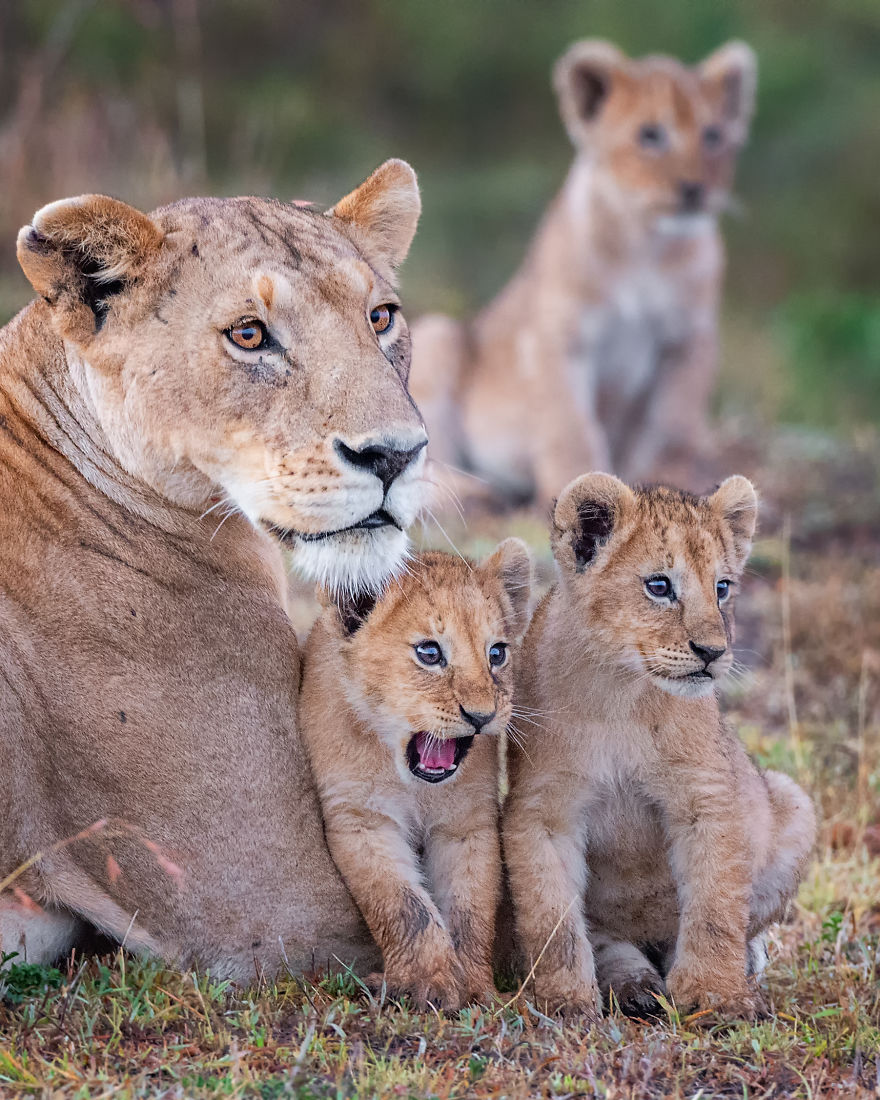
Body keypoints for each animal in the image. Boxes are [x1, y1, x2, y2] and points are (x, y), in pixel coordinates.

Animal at [300, 542, 533, 1009]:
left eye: (497, 653)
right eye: (429, 653)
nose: (481, 717)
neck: (412, 783)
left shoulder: (466, 824)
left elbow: (469, 908)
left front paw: (474, 988)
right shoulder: (360, 819)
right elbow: (404, 906)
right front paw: (426, 984)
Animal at [410, 41, 757, 505]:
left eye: (713, 136)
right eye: (651, 135)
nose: (694, 189)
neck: (646, 245)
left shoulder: (688, 341)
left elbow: (674, 424)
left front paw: (672, 483)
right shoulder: (559, 338)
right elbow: (569, 424)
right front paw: (573, 483)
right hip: (439, 335)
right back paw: (474, 490)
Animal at [502, 473, 815, 1019]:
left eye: (722, 588)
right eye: (659, 586)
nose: (712, 653)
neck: (621, 693)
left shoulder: (707, 795)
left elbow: (715, 907)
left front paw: (715, 996)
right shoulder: (541, 809)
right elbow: (551, 917)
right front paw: (563, 1001)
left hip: (792, 801)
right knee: (609, 938)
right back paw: (633, 985)